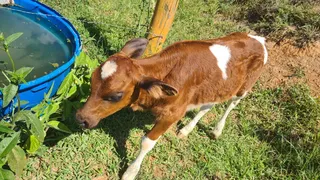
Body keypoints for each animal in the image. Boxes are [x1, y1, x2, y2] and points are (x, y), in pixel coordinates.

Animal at [75, 32, 268, 179]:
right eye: (91, 82)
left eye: (116, 96)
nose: (80, 118)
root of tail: (258, 38)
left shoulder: (174, 113)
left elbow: (146, 142)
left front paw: (130, 172)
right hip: (218, 87)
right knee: (208, 106)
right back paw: (186, 130)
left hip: (244, 87)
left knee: (231, 105)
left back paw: (217, 130)